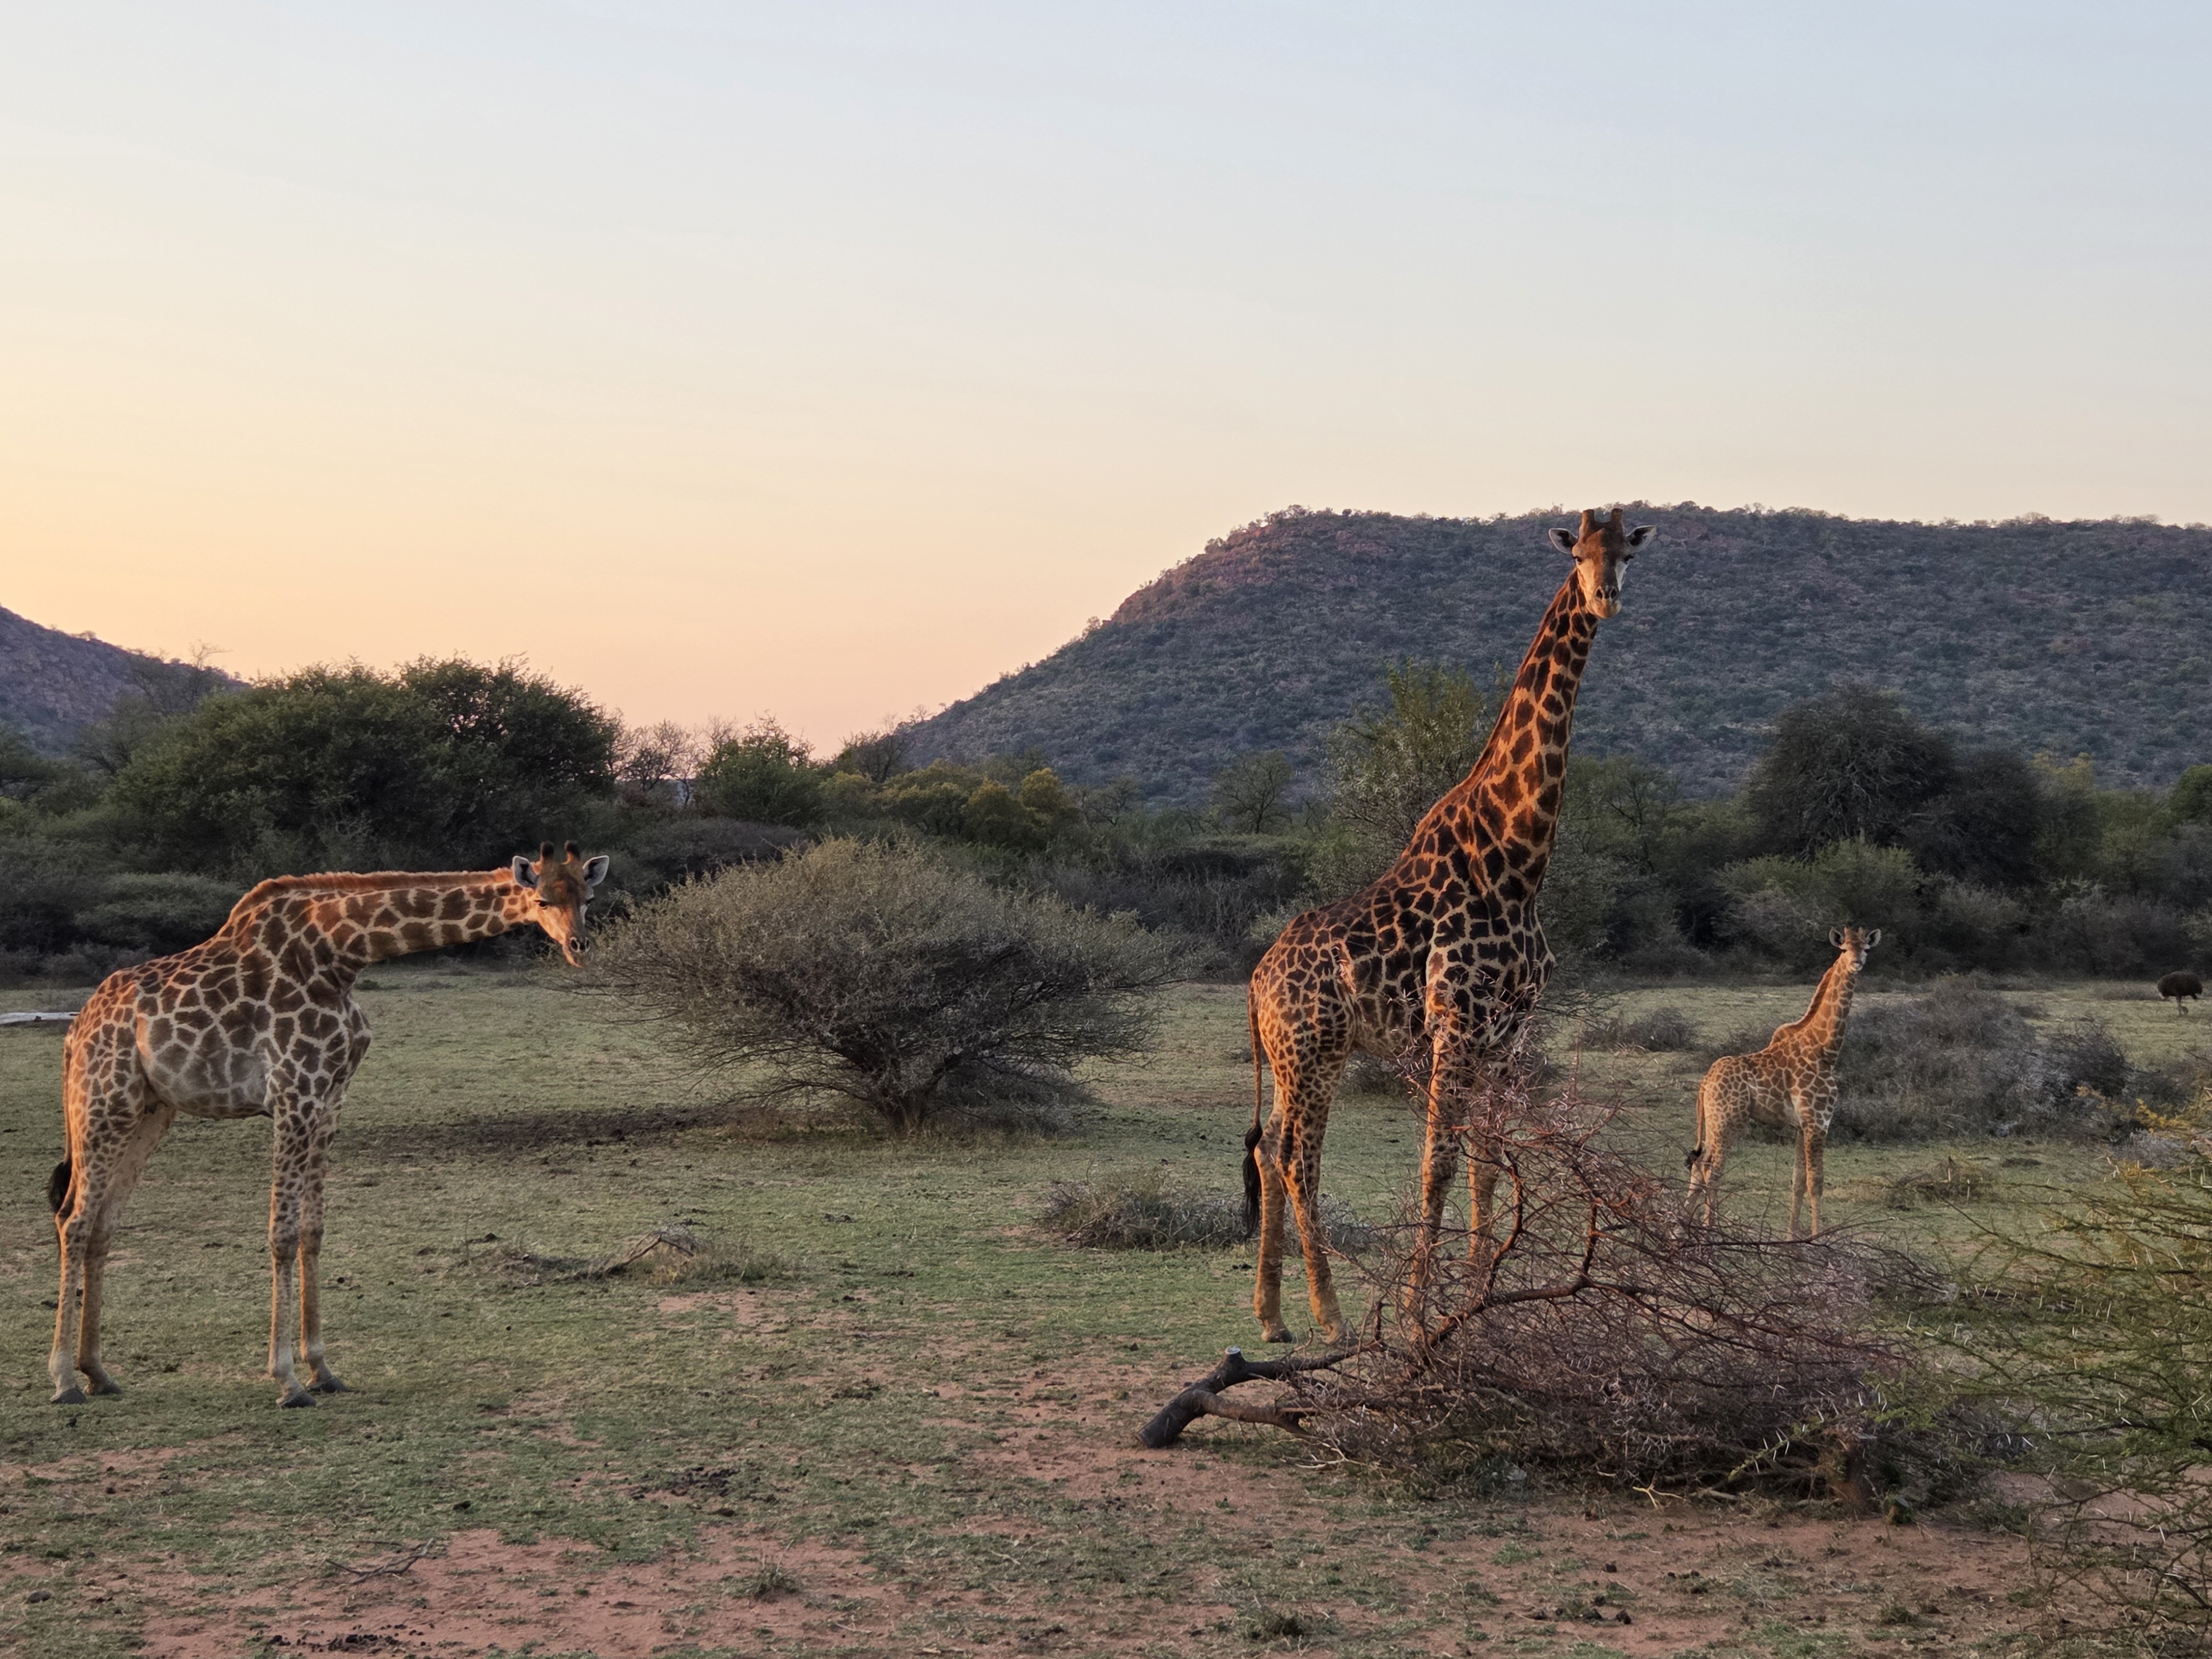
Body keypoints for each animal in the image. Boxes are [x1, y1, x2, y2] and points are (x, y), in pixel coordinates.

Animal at [45, 842, 609, 1408]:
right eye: (541, 898)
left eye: (588, 896)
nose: (580, 947)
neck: (342, 954)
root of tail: (76, 1029)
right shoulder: (294, 1093)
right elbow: (282, 1233)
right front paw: (288, 1381)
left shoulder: (331, 1098)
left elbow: (313, 1231)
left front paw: (322, 1369)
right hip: (104, 1102)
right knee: (74, 1219)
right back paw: (65, 1380)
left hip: (150, 1112)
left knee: (103, 1223)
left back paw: (98, 1372)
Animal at [1241, 507, 1655, 1344]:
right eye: (1579, 553)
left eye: (1628, 552)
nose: (1606, 598)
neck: (1518, 862)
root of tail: (1256, 983)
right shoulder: (1454, 1022)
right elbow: (1436, 1159)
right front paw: (1414, 1306)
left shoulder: (1509, 1031)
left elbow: (1487, 1162)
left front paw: (1477, 1298)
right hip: (1312, 1051)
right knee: (1299, 1161)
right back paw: (1331, 1316)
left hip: (1304, 1056)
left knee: (1269, 1152)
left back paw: (1272, 1318)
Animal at [1683, 926, 1880, 1239]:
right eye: (1844, 949)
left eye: (1867, 948)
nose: (1857, 962)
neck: (1825, 1050)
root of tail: (1704, 1082)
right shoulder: (1818, 1121)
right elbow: (1816, 1182)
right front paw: (1816, 1238)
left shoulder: (1801, 1125)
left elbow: (1798, 1181)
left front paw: (1791, 1237)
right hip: (1729, 1121)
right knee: (1711, 1170)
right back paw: (1710, 1232)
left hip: (1714, 1122)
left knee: (1698, 1167)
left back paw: (1680, 1230)